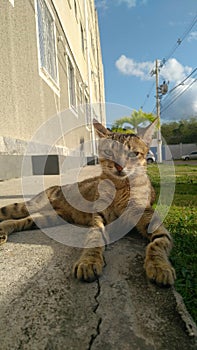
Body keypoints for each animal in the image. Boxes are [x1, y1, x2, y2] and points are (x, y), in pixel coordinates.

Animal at [0, 119, 175, 286]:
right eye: (109, 152)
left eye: (133, 153)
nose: (119, 166)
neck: (119, 187)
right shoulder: (99, 215)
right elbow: (94, 237)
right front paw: (89, 260)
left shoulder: (146, 215)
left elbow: (159, 241)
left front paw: (160, 266)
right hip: (30, 206)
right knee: (10, 214)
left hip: (52, 217)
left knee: (19, 221)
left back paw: (3, 231)